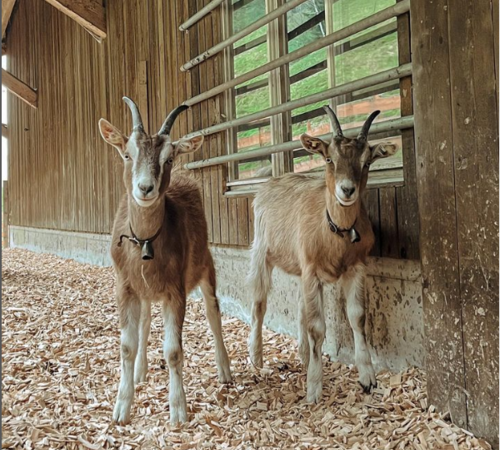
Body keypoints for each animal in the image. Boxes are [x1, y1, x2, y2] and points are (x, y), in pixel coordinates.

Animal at [99, 98, 232, 426]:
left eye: (168, 158)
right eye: (127, 154)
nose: (145, 188)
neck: (146, 241)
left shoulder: (176, 289)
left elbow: (173, 351)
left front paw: (178, 410)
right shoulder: (125, 286)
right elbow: (127, 345)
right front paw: (121, 409)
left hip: (205, 265)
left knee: (213, 313)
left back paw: (225, 370)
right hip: (145, 290)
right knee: (146, 321)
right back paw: (140, 372)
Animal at [248, 107, 396, 402]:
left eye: (367, 162)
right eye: (329, 159)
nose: (347, 190)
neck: (335, 231)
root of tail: (268, 184)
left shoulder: (355, 267)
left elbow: (357, 318)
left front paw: (368, 377)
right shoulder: (312, 271)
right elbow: (317, 327)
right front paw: (314, 388)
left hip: (298, 266)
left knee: (300, 306)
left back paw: (304, 356)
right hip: (261, 251)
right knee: (259, 302)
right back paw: (257, 357)